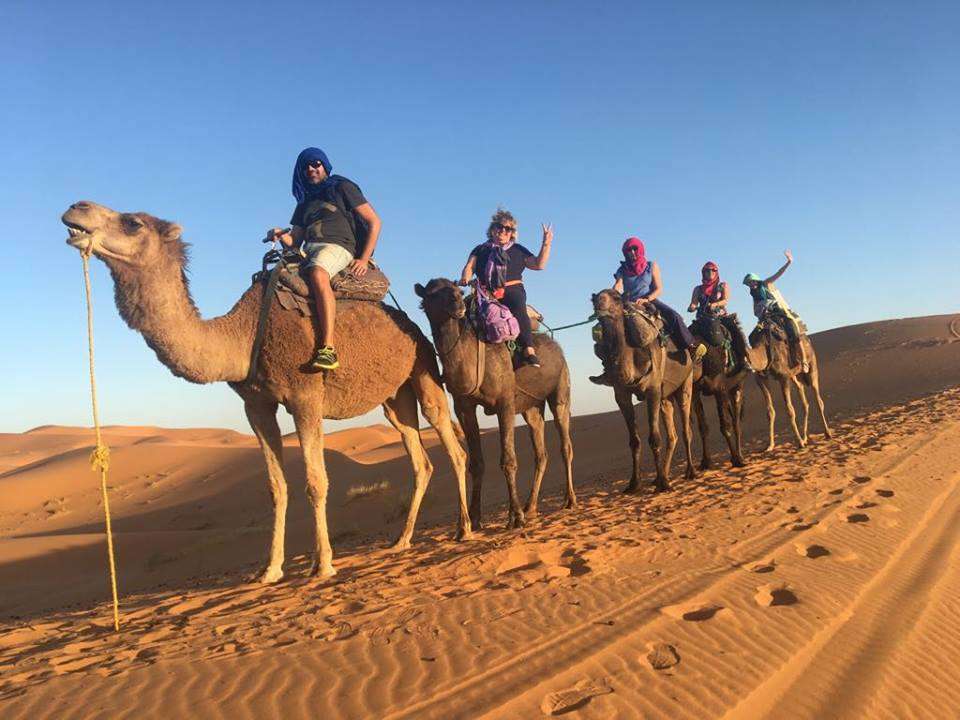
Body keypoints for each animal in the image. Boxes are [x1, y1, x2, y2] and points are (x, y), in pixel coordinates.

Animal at [62, 200, 474, 584]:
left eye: (133, 222)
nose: (75, 209)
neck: (243, 337)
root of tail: (412, 326)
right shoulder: (256, 405)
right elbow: (276, 487)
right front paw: (271, 569)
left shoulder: (305, 397)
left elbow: (315, 482)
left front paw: (323, 564)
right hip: (394, 398)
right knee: (419, 458)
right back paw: (402, 540)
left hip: (423, 370)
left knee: (452, 445)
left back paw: (464, 529)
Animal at [414, 278, 576, 528]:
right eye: (432, 294)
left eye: (457, 289)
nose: (457, 303)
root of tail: (556, 346)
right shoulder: (464, 407)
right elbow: (476, 464)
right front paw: (474, 519)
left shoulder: (505, 402)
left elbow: (508, 460)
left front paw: (515, 517)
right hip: (531, 406)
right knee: (541, 451)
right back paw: (531, 506)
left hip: (560, 389)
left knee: (565, 443)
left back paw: (569, 500)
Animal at [588, 290, 692, 492]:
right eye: (594, 299)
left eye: (617, 298)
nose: (600, 303)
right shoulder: (621, 394)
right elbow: (634, 441)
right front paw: (634, 483)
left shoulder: (652, 390)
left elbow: (655, 438)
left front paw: (663, 484)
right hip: (665, 398)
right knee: (672, 434)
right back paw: (662, 476)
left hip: (686, 382)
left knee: (686, 428)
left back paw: (690, 472)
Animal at [748, 322, 828, 450]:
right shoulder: (761, 379)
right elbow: (769, 411)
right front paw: (770, 445)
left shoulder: (784, 377)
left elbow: (790, 410)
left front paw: (799, 442)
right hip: (796, 375)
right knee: (804, 399)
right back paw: (805, 438)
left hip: (812, 365)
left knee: (818, 399)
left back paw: (827, 433)